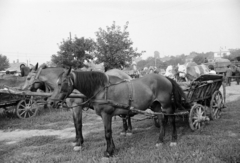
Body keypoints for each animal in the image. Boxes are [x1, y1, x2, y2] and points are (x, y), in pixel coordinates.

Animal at [47, 68, 188, 157]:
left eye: (62, 83)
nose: (51, 102)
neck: (101, 89)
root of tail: (166, 78)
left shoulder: (106, 114)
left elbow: (107, 133)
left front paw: (108, 152)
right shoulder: (106, 116)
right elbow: (109, 132)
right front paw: (113, 149)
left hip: (167, 105)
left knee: (172, 119)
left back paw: (173, 140)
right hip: (156, 106)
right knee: (162, 120)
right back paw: (160, 140)